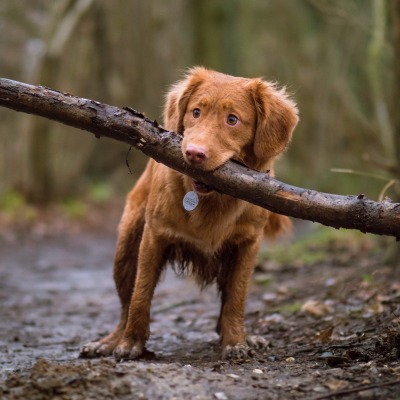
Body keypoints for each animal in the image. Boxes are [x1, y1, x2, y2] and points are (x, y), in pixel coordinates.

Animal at [79, 67, 298, 360]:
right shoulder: (154, 237)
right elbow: (140, 294)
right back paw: (110, 341)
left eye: (232, 120)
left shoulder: (247, 245)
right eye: (196, 112)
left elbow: (236, 298)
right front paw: (131, 343)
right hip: (126, 248)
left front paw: (235, 341)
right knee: (125, 303)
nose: (194, 153)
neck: (211, 200)